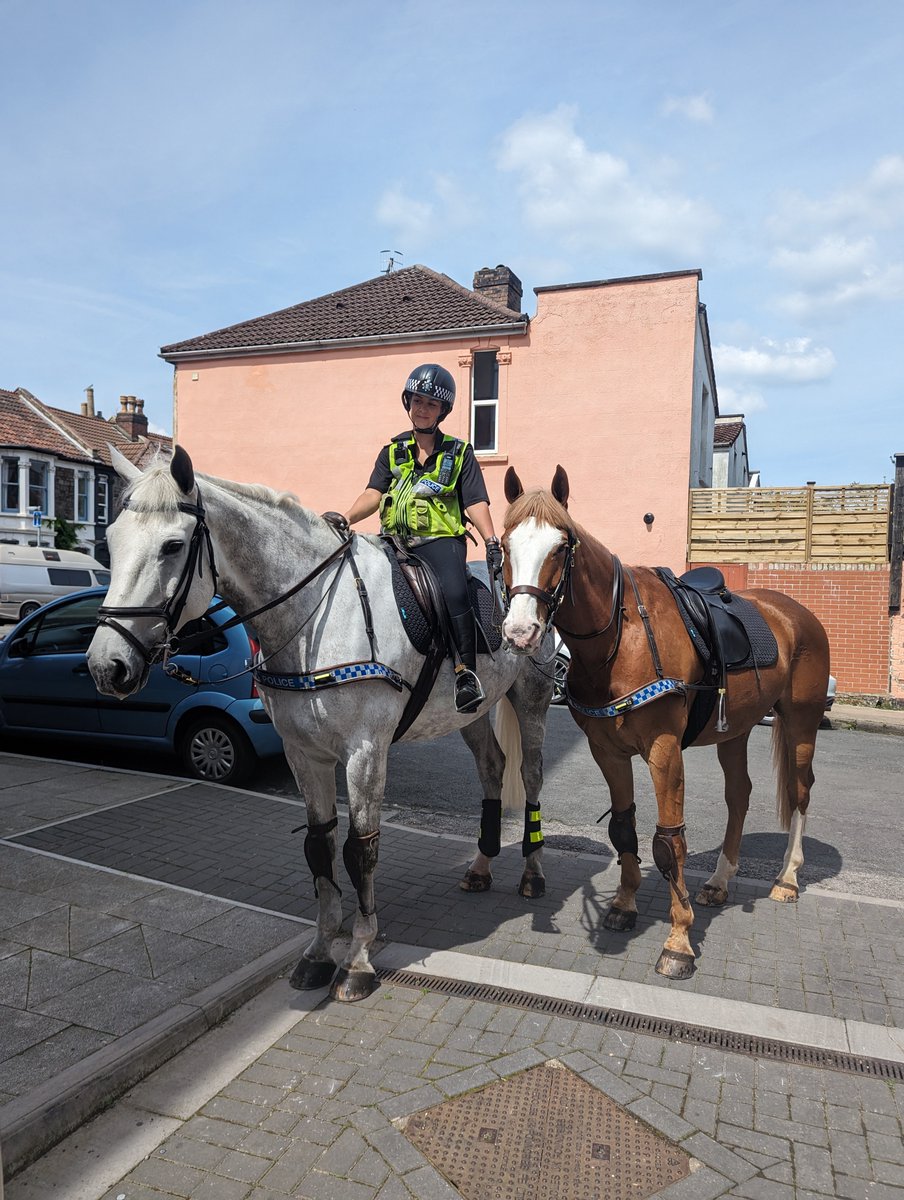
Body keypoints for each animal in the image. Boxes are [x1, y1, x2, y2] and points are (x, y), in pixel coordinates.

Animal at [86, 446, 549, 998]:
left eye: (172, 546)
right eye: (111, 542)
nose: (107, 665)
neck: (317, 611)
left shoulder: (365, 754)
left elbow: (361, 850)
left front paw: (358, 959)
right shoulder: (304, 754)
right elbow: (320, 845)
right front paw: (321, 950)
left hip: (531, 699)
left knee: (530, 776)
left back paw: (532, 874)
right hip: (472, 714)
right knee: (491, 767)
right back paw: (480, 866)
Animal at [501, 463, 830, 979]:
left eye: (561, 545)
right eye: (503, 544)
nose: (520, 632)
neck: (620, 636)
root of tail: (796, 613)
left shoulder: (664, 751)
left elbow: (668, 841)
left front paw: (679, 941)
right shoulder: (607, 752)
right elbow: (624, 828)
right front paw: (624, 905)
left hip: (802, 723)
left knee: (800, 792)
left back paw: (788, 877)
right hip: (734, 730)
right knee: (739, 795)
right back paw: (719, 880)